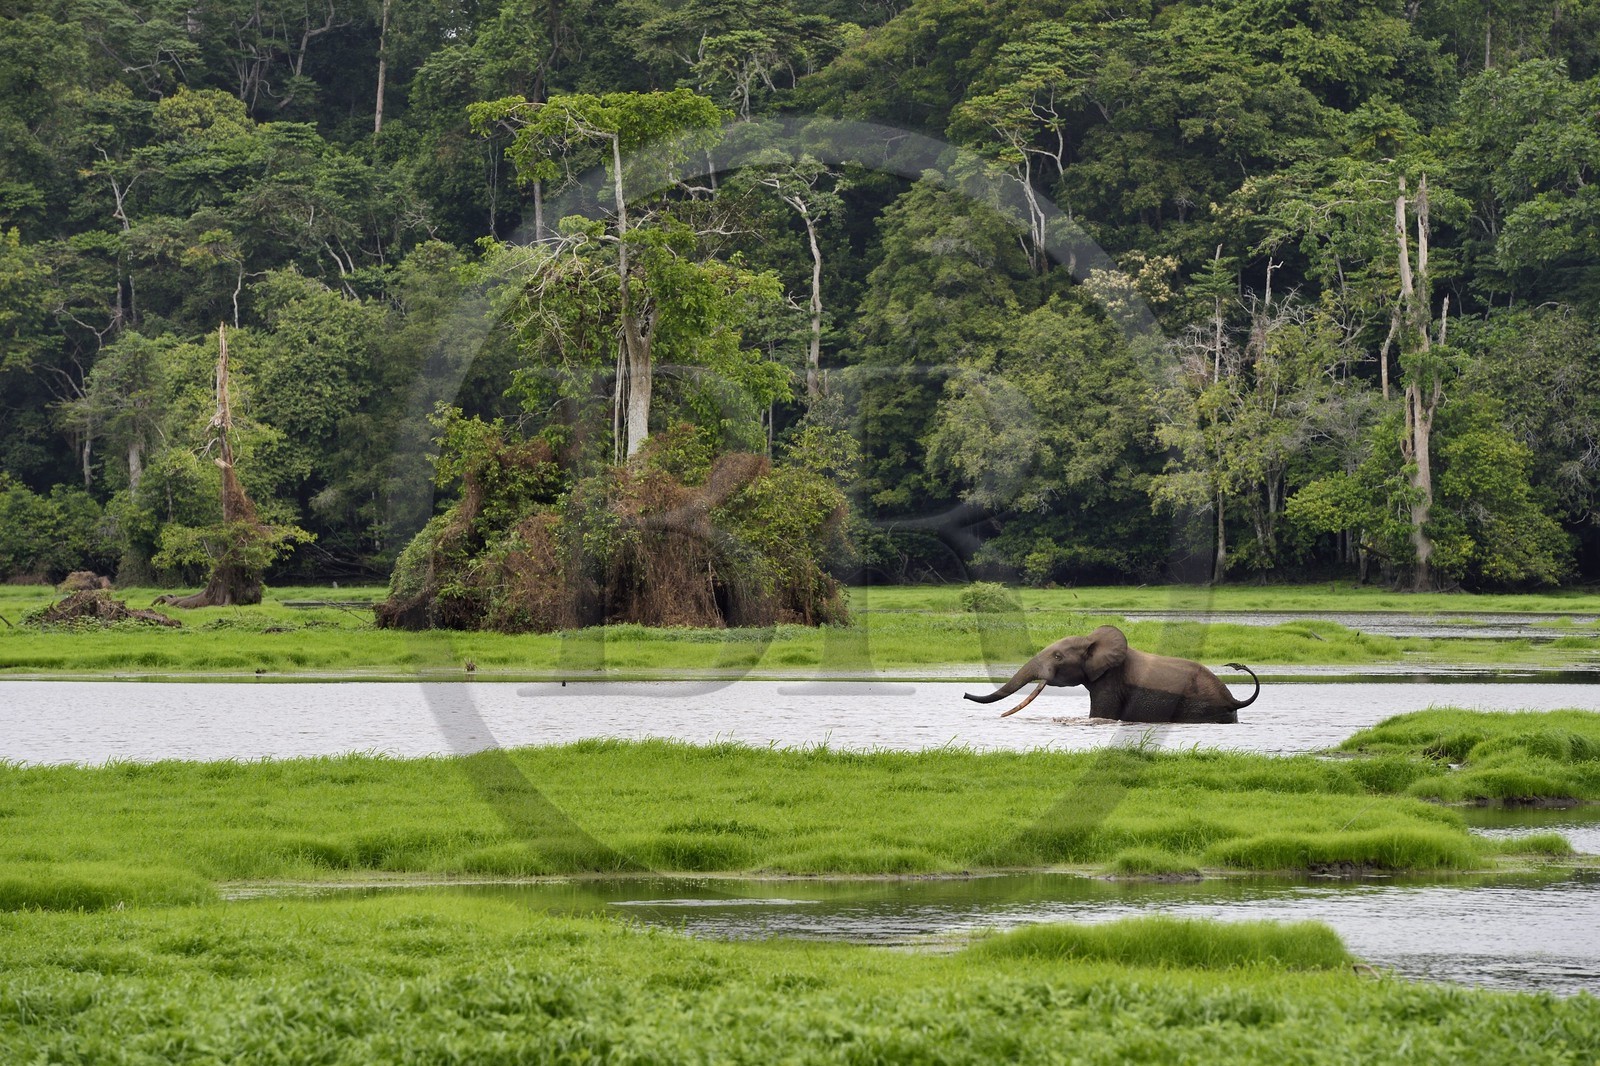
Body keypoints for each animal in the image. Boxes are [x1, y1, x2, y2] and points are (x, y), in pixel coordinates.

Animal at [963, 625, 1258, 723]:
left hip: (1197, 707)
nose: (965, 694)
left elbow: (1101, 714)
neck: (1091, 639)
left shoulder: (1110, 682)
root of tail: (1233, 699)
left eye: (1058, 657)